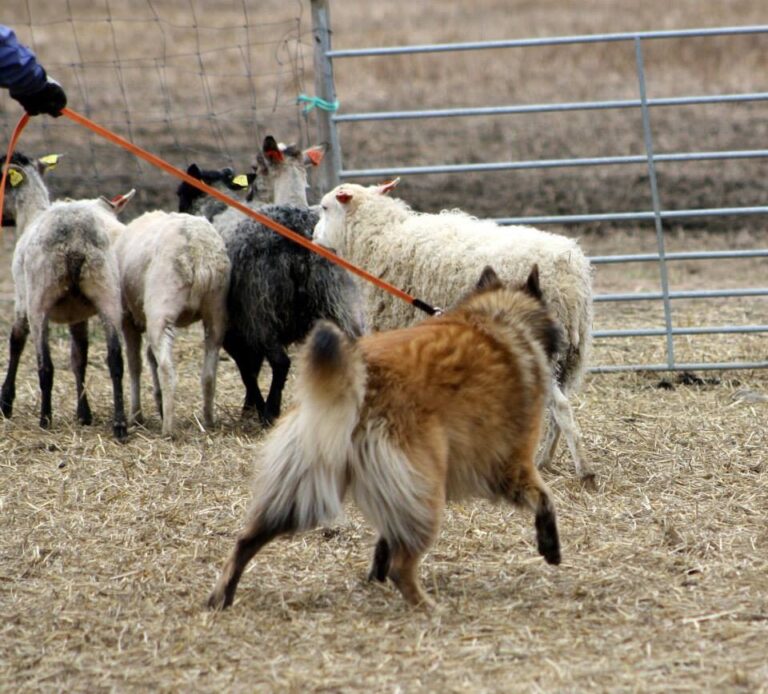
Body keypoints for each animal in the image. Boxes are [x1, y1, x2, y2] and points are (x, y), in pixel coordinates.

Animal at [0, 155, 132, 444]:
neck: (31, 214)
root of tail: (75, 238)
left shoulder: (22, 302)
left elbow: (16, 343)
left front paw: (5, 403)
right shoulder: (78, 317)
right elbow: (78, 358)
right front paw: (84, 414)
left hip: (40, 299)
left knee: (45, 366)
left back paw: (45, 419)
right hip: (107, 292)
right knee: (115, 360)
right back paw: (119, 425)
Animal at [112, 209, 230, 438]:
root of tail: (198, 249)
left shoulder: (127, 318)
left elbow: (135, 365)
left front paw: (136, 416)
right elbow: (149, 357)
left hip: (161, 308)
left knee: (167, 370)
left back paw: (168, 429)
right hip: (216, 310)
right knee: (209, 373)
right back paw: (208, 420)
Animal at [178, 169, 364, 430]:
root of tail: (299, 233)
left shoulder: (235, 329)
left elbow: (248, 371)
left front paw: (255, 406)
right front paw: (248, 407)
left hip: (261, 308)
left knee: (280, 363)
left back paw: (270, 412)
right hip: (339, 302)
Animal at [208, 264, 564, 612]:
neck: (498, 316)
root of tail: (362, 381)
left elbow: (385, 537)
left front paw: (374, 570)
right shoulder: (513, 462)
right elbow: (544, 498)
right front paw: (550, 547)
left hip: (304, 484)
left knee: (246, 539)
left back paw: (221, 596)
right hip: (426, 488)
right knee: (402, 566)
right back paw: (428, 607)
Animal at [316, 181, 596, 484]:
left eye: (324, 207)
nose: (313, 236)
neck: (379, 239)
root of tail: (570, 273)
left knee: (561, 407)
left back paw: (583, 471)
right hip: (568, 356)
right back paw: (545, 459)